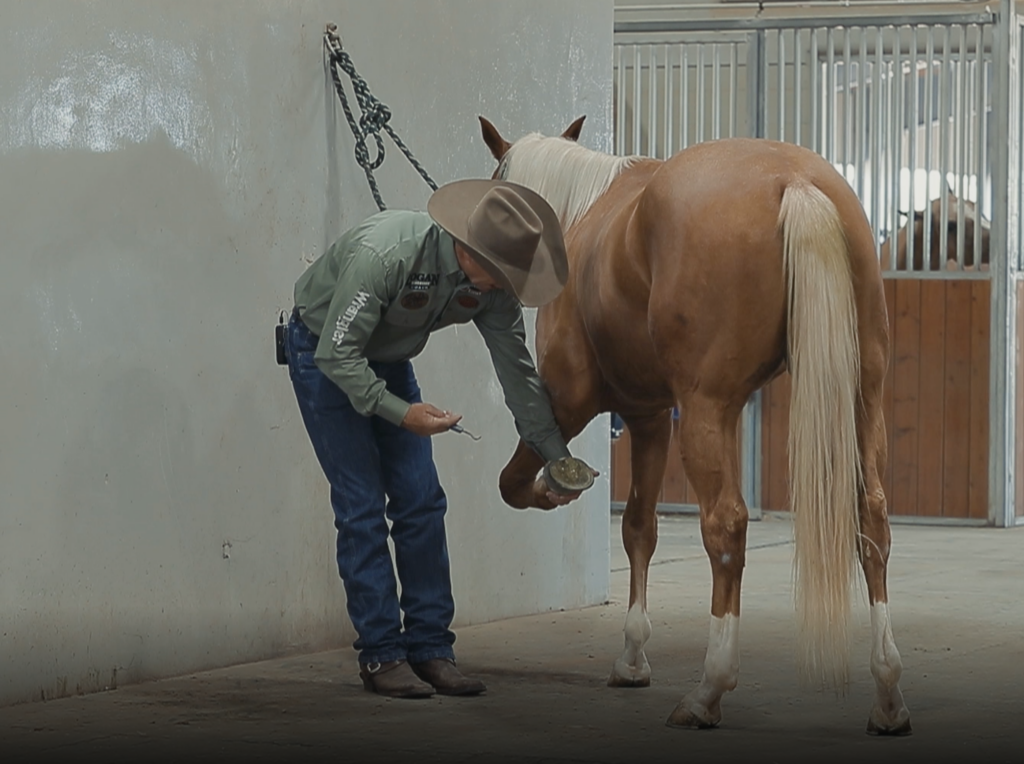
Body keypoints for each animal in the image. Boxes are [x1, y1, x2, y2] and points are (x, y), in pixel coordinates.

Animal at [478, 115, 912, 735]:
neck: (584, 213)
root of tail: (794, 182)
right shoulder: (652, 415)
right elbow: (639, 527)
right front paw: (632, 658)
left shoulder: (569, 400)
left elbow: (514, 483)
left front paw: (554, 487)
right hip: (858, 401)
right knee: (870, 520)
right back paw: (888, 696)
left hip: (706, 410)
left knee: (726, 527)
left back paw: (708, 691)